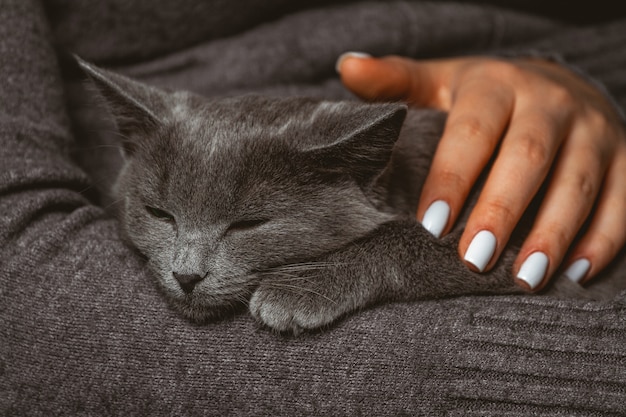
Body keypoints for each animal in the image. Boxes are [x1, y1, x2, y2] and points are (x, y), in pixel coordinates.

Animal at [73, 57, 620, 332]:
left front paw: (299, 290)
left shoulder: (534, 257)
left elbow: (421, 239)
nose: (186, 275)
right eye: (159, 213)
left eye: (249, 224)